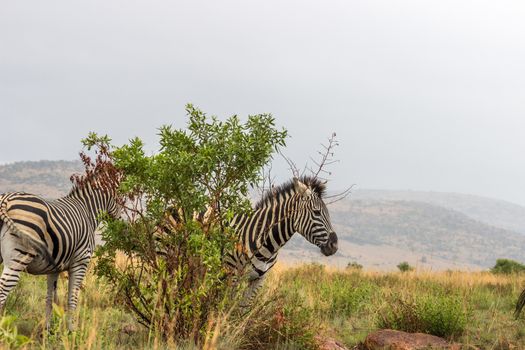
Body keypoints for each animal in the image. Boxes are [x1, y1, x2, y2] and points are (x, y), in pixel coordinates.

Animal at [0, 180, 119, 330]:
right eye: (120, 198)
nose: (120, 222)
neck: (87, 211)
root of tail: (6, 199)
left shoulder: (53, 268)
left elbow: (50, 298)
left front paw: (47, 328)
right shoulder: (81, 262)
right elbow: (72, 298)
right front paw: (71, 330)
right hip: (20, 255)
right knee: (4, 287)